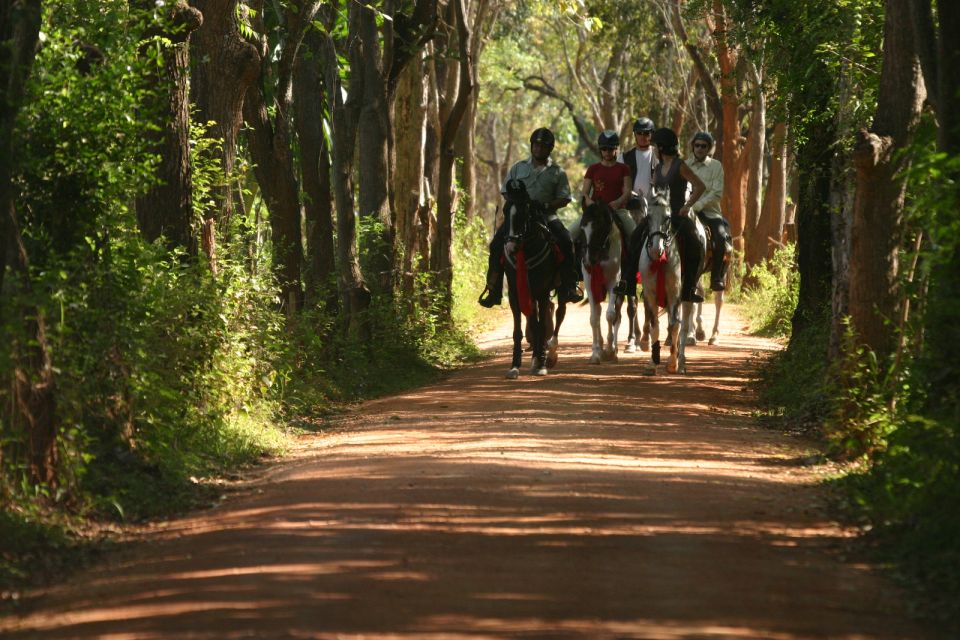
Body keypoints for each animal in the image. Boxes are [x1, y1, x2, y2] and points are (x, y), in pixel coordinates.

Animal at [502, 179, 564, 380]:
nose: (511, 246)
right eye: (505, 211)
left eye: (523, 213)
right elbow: (519, 330)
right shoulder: (515, 293)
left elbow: (542, 326)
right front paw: (515, 366)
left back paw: (549, 354)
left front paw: (541, 364)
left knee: (559, 314)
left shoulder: (543, 292)